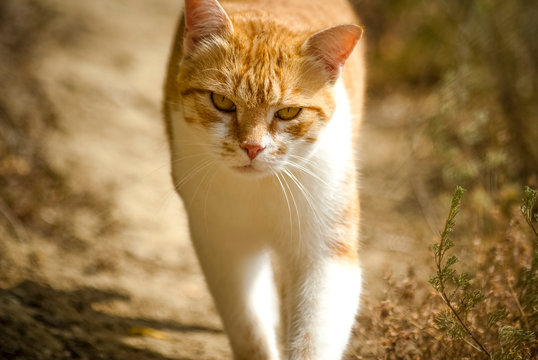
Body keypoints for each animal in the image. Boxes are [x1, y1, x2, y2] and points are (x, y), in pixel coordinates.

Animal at [163, 0, 364, 358]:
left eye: (287, 113)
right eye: (222, 102)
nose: (252, 147)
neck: (260, 188)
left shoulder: (326, 253)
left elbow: (312, 337)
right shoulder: (224, 247)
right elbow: (249, 327)